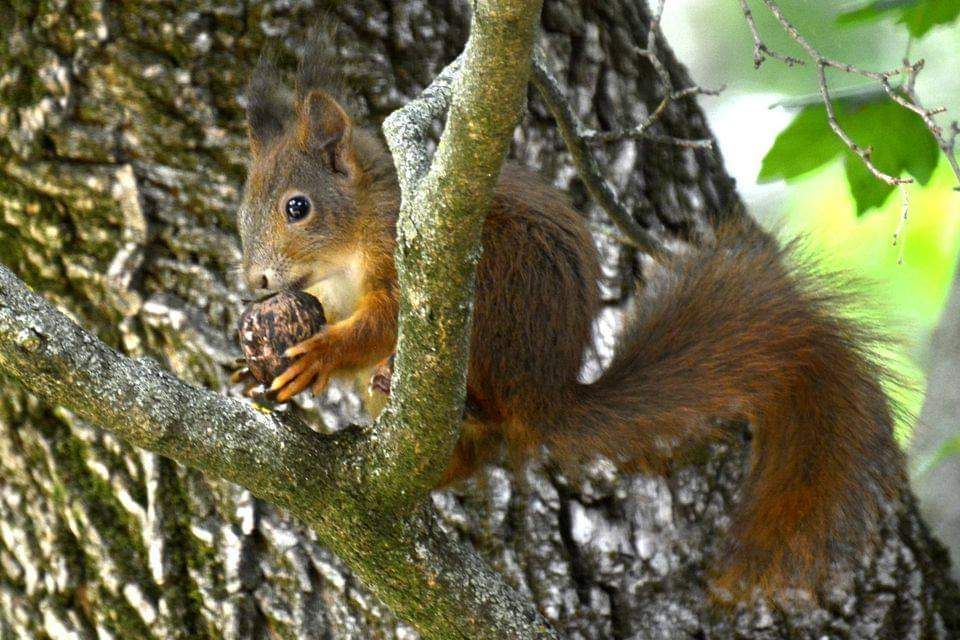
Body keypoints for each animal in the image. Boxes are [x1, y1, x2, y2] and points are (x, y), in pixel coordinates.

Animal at [234, 53, 908, 600]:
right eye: (242, 214)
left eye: (298, 207)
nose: (258, 280)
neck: (346, 246)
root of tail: (546, 394)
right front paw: (253, 366)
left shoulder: (405, 253)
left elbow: (384, 320)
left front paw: (319, 355)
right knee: (476, 452)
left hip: (495, 293)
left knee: (483, 415)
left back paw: (421, 386)